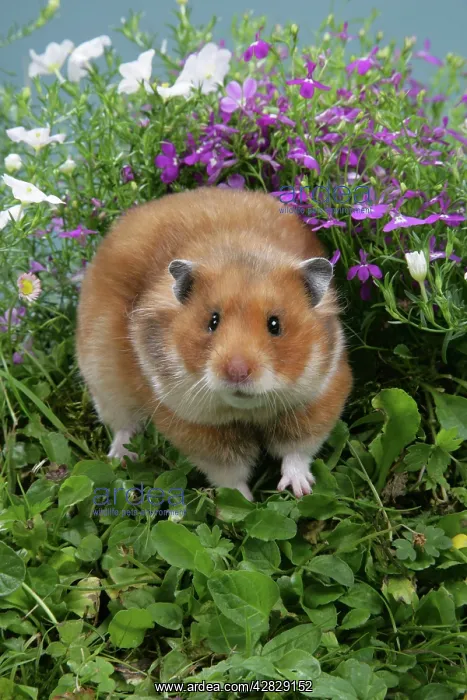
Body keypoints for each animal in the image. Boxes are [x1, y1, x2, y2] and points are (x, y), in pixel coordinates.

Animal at [76, 188, 352, 501]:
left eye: (275, 325)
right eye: (213, 321)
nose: (237, 372)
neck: (247, 410)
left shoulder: (319, 397)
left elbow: (298, 450)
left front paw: (299, 490)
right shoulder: (194, 426)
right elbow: (229, 473)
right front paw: (242, 502)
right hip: (104, 379)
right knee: (123, 425)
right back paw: (121, 458)